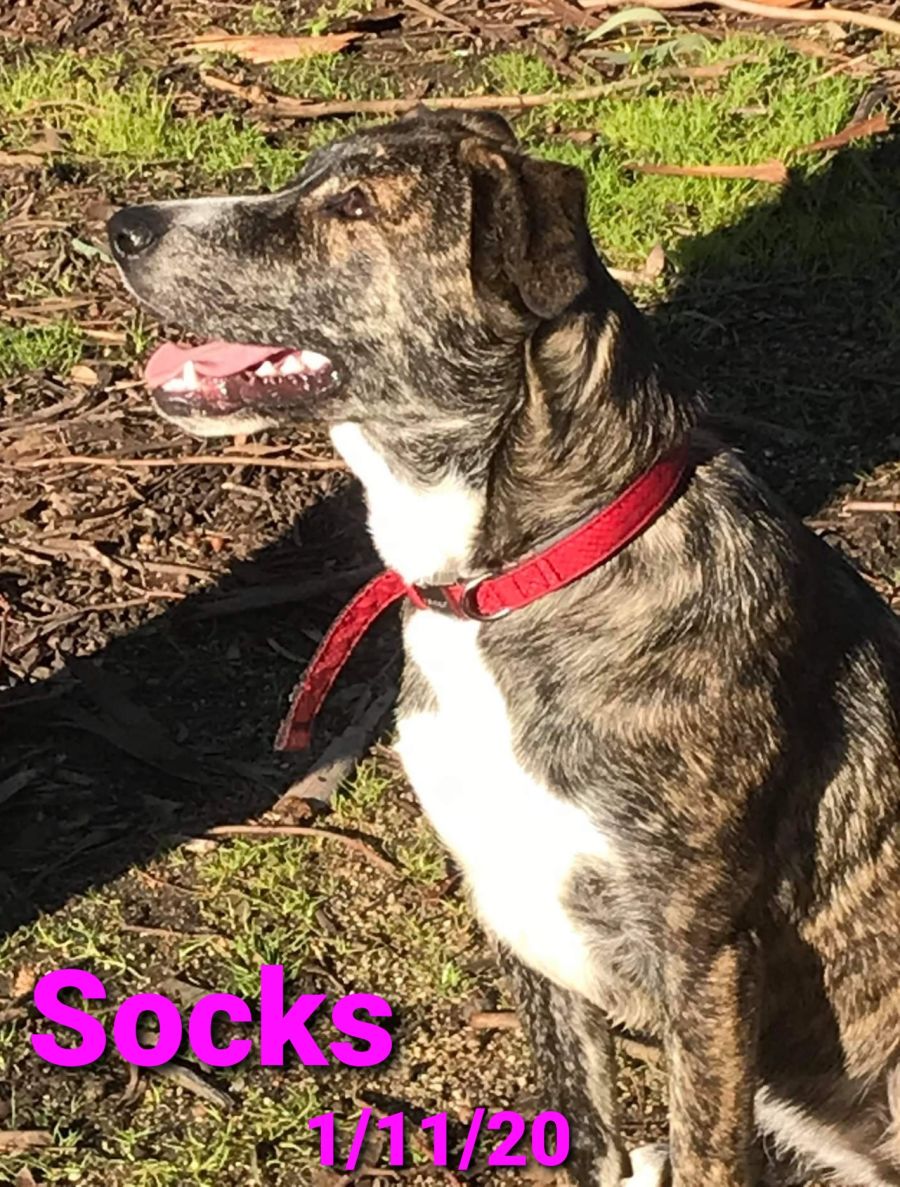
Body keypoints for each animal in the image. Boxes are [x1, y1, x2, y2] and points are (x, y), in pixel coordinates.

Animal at [108, 108, 900, 1187]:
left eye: (356, 207)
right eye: (306, 179)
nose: (124, 226)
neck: (511, 582)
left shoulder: (703, 961)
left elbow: (706, 1153)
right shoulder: (520, 915)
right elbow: (582, 1135)